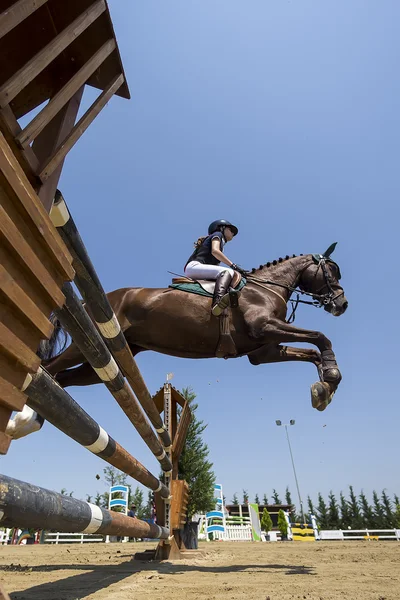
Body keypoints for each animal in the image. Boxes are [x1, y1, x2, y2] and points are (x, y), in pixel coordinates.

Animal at [42, 241, 346, 410]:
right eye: (331, 272)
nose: (342, 304)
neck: (267, 288)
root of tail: (86, 302)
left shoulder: (263, 351)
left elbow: (312, 352)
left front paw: (324, 389)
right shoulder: (264, 327)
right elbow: (321, 337)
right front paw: (331, 376)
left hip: (110, 360)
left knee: (66, 376)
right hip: (89, 342)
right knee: (50, 366)